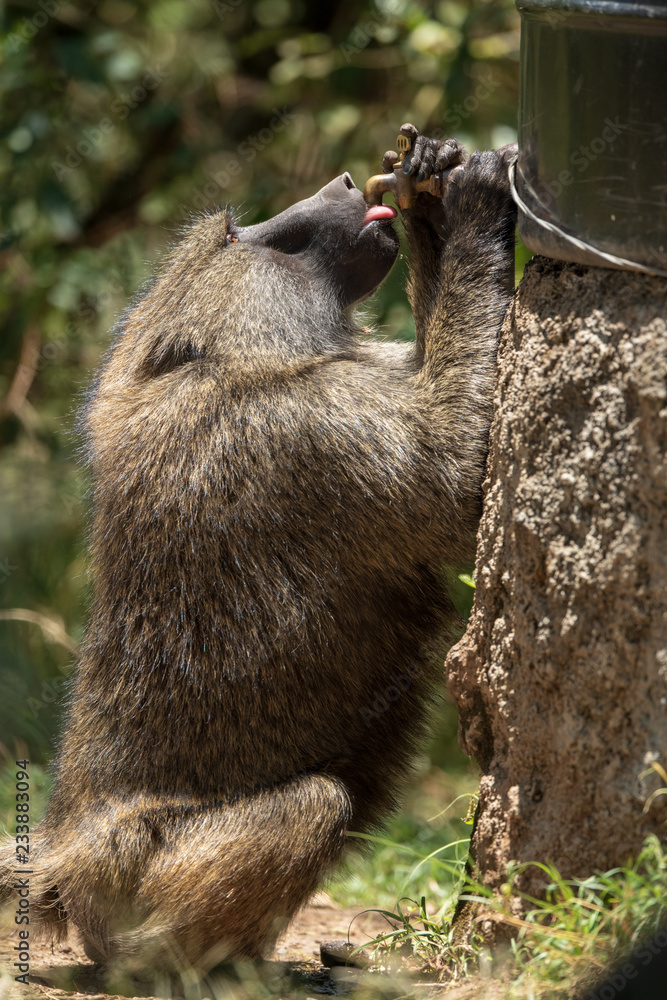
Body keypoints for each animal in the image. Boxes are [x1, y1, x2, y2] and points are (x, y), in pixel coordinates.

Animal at [0, 127, 517, 974]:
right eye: (242, 237)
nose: (345, 181)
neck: (214, 360)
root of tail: (66, 865)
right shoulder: (311, 428)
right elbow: (455, 473)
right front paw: (474, 203)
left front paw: (426, 194)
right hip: (139, 869)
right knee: (314, 804)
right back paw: (183, 969)